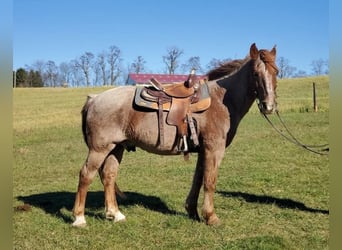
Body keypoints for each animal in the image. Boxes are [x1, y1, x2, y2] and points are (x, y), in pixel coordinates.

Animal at [71, 43, 278, 227]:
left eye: (276, 72)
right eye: (256, 73)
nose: (268, 106)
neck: (221, 101)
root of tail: (94, 99)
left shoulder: (203, 150)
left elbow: (198, 179)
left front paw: (193, 211)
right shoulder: (214, 149)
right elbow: (210, 181)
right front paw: (211, 217)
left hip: (116, 147)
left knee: (109, 175)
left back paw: (115, 214)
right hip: (99, 149)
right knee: (86, 175)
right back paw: (79, 218)